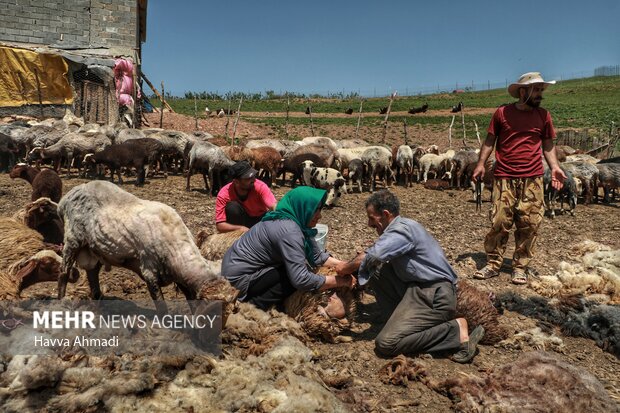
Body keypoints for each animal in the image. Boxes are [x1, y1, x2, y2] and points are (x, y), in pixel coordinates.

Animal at [57, 179, 240, 318]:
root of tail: (66, 198)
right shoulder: (149, 271)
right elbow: (160, 304)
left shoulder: (179, 277)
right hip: (73, 240)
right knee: (64, 272)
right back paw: (61, 299)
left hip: (96, 249)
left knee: (93, 273)